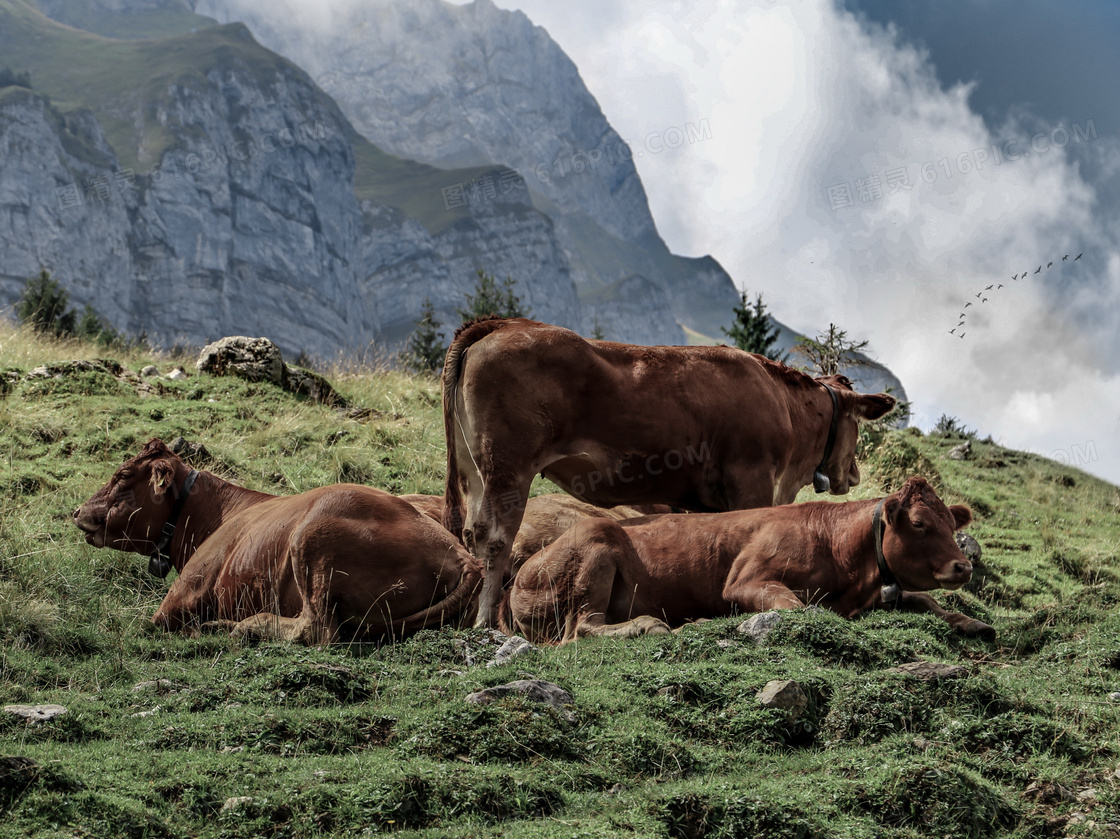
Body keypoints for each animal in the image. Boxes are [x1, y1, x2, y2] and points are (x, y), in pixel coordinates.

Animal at [76, 439, 479, 640]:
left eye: (123, 474)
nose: (78, 511)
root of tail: (464, 557)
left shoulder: (184, 594)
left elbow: (147, 623)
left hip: (311, 542)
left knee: (314, 629)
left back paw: (239, 627)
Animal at [441, 318, 896, 627]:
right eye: (858, 425)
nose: (854, 475)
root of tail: (507, 323)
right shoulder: (752, 479)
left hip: (475, 471)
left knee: (473, 532)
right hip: (508, 466)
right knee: (496, 539)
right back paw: (484, 621)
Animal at [499, 474, 990, 645]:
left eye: (952, 523)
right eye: (921, 524)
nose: (963, 566)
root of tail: (518, 575)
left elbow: (926, 600)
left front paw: (970, 622)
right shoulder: (746, 580)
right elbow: (795, 606)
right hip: (596, 542)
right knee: (581, 628)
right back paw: (652, 625)